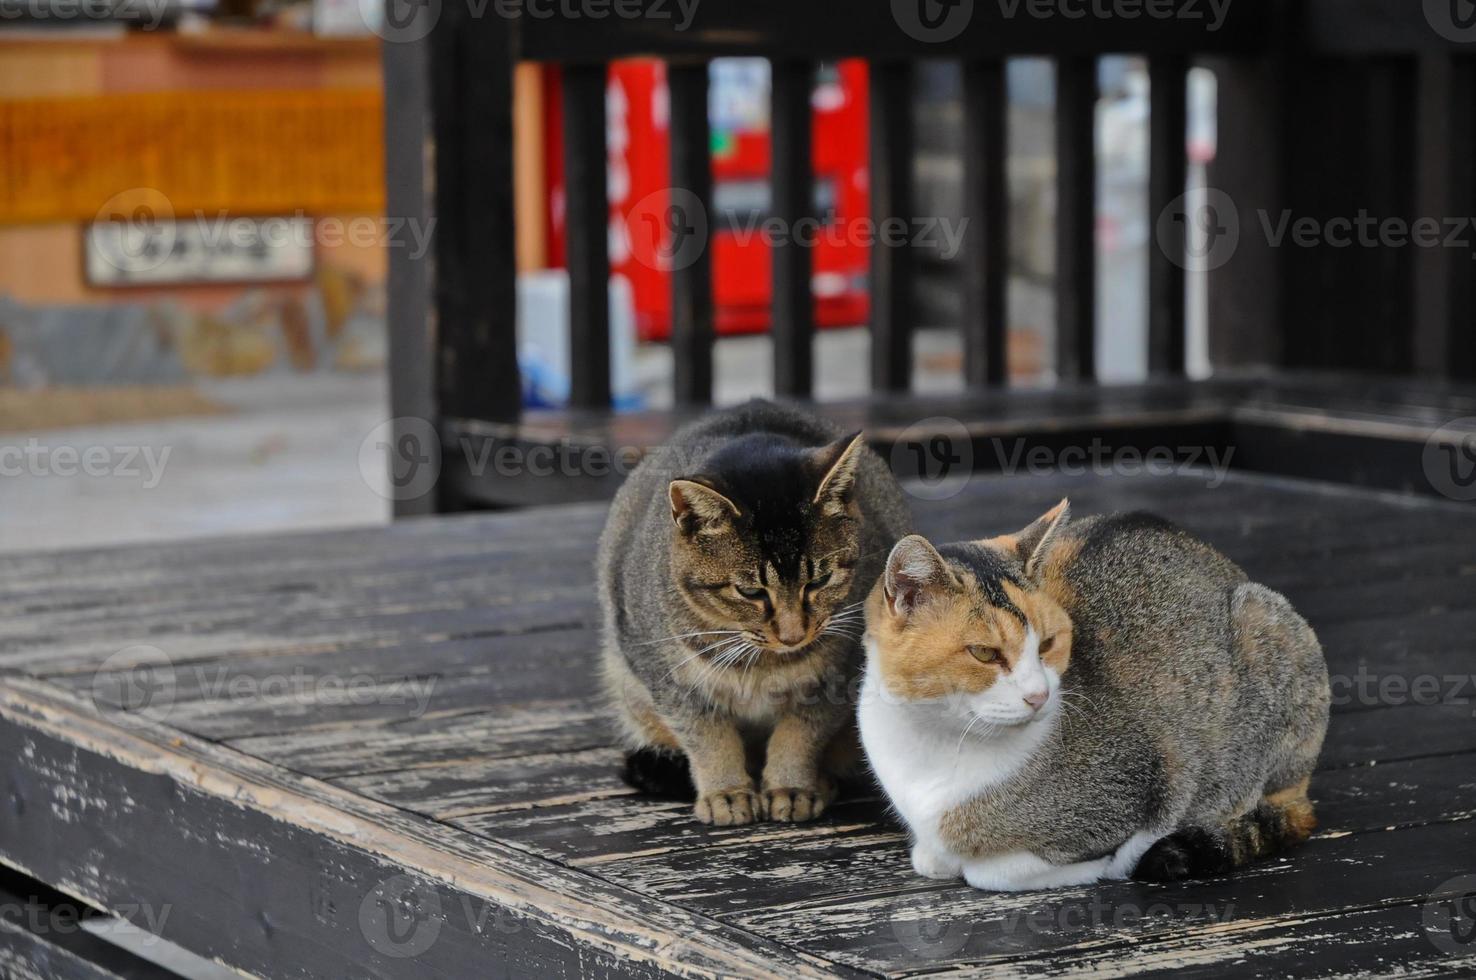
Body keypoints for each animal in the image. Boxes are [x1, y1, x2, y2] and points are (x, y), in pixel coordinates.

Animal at [599, 401, 909, 820]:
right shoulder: (667, 678)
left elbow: (800, 735)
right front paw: (726, 792)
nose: (793, 634)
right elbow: (708, 739)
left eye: (820, 580)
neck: (765, 664)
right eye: (749, 591)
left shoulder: (838, 677)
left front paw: (792, 786)